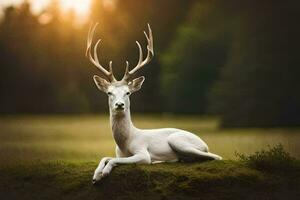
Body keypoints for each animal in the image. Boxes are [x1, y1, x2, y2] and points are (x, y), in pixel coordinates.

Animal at [85, 22, 221, 184]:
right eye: (109, 93)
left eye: (128, 92)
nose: (119, 105)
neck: (125, 143)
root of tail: (203, 142)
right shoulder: (118, 154)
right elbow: (105, 157)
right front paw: (96, 175)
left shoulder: (142, 153)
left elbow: (114, 159)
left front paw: (104, 173)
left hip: (178, 140)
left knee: (216, 156)